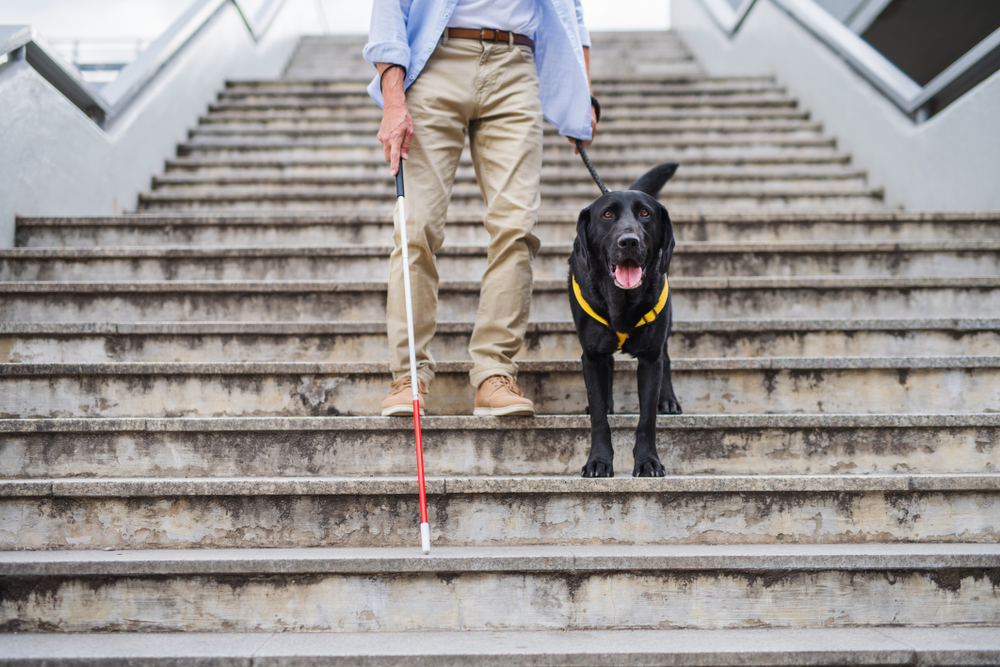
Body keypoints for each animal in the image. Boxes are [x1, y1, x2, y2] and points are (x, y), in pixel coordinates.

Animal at [572, 164, 680, 478]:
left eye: (645, 213)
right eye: (607, 215)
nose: (629, 241)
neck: (622, 300)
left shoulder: (650, 358)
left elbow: (646, 419)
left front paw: (648, 462)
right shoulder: (591, 355)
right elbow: (598, 416)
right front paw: (598, 462)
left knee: (667, 356)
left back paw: (668, 400)